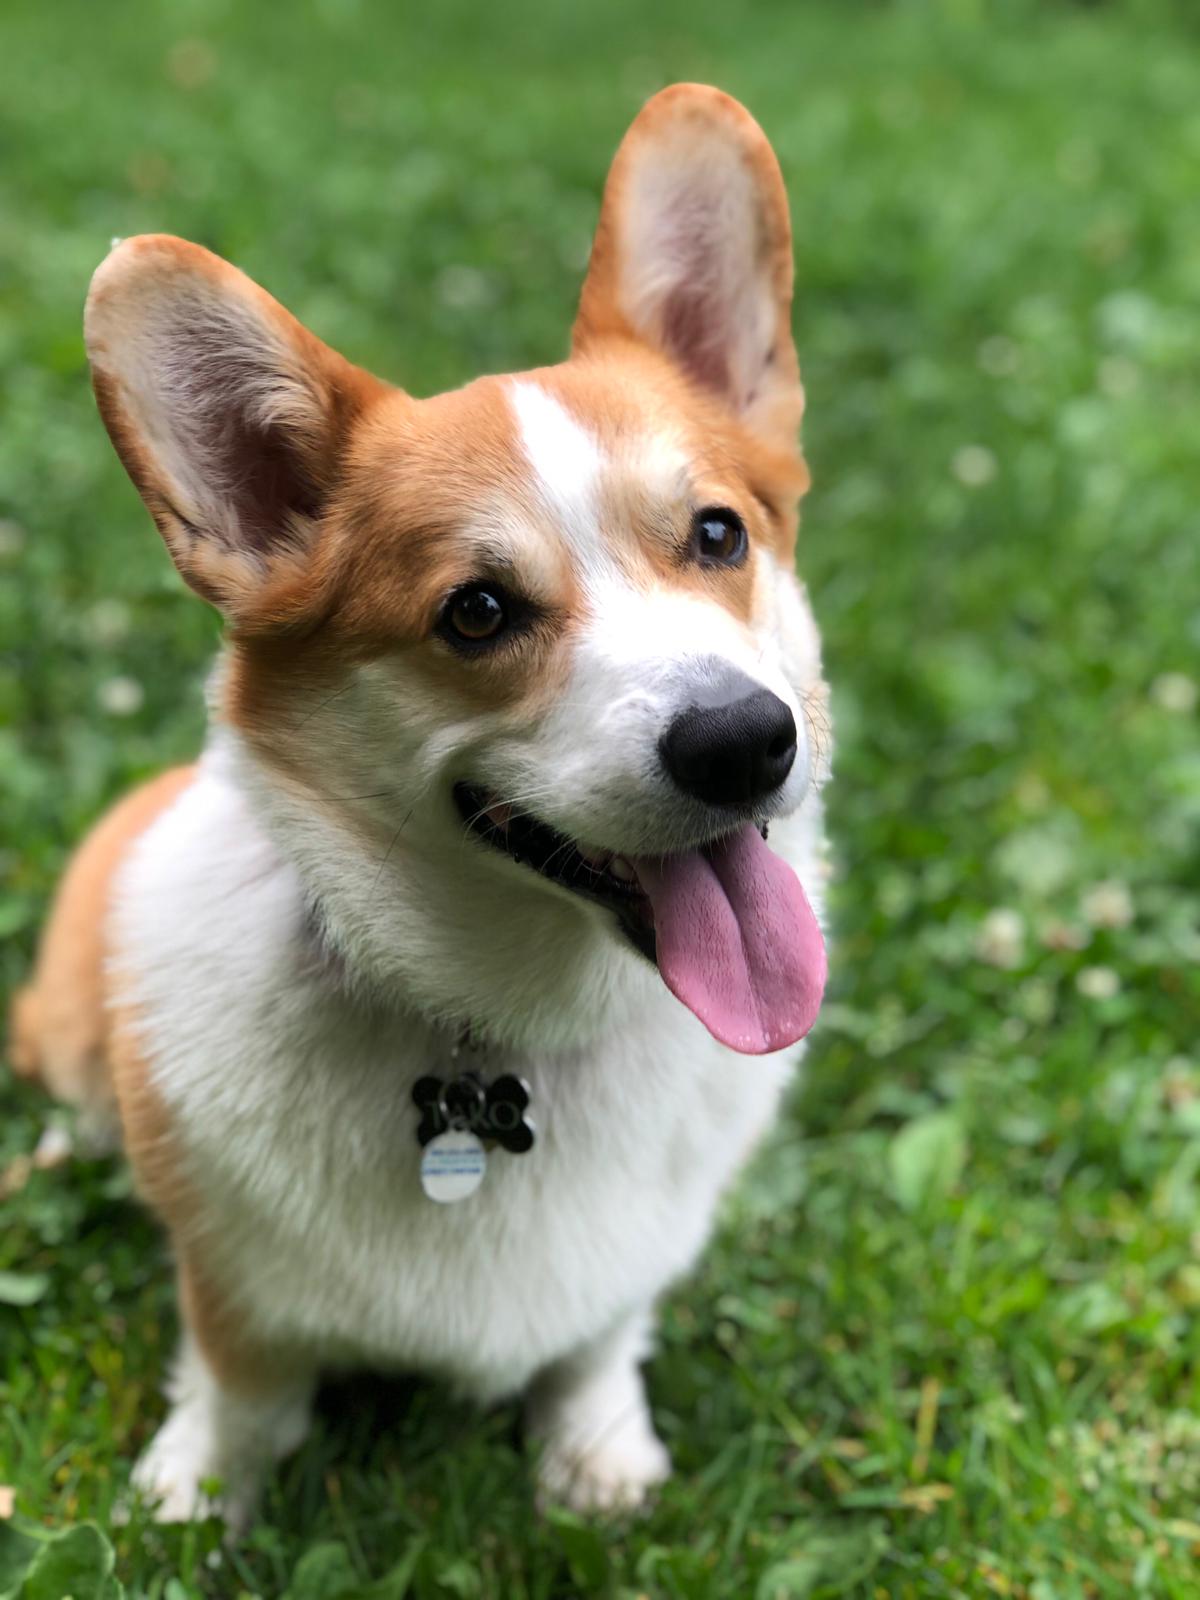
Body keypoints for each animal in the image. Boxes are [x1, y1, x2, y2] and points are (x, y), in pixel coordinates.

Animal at [10, 83, 831, 1525]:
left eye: (719, 535)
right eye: (478, 612)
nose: (744, 744)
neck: (510, 1030)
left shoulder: (632, 1269)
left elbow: (599, 1340)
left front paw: (598, 1459)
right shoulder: (231, 1286)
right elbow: (242, 1385)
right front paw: (197, 1499)